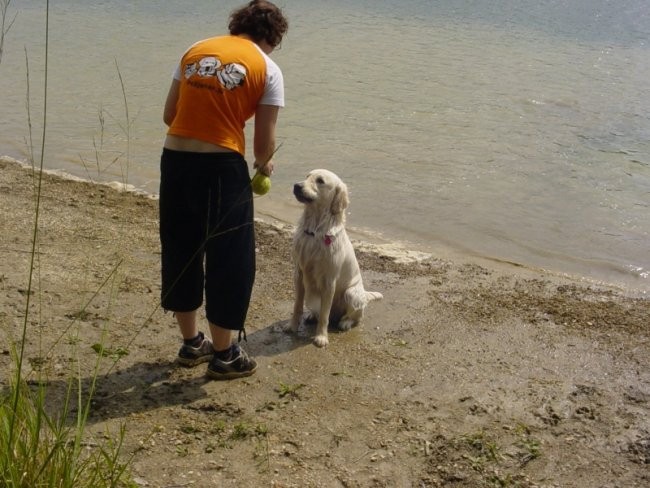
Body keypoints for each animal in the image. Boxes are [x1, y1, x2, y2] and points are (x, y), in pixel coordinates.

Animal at [284, 169, 380, 346]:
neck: (314, 230)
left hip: (352, 293)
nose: (296, 186)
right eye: (307, 176)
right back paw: (311, 315)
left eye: (320, 181)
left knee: (355, 317)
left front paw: (321, 337)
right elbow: (297, 306)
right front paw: (292, 326)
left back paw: (345, 322)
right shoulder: (299, 273)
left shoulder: (329, 280)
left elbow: (324, 314)